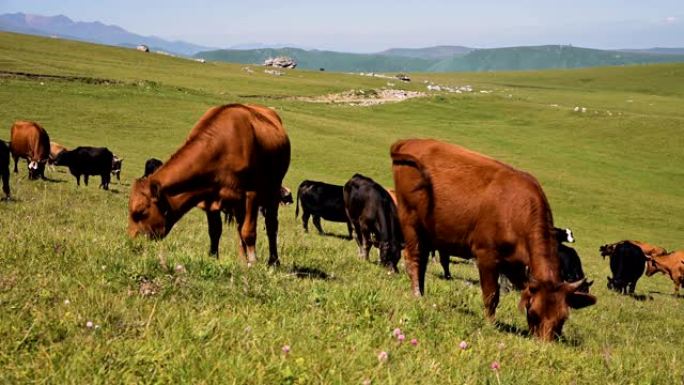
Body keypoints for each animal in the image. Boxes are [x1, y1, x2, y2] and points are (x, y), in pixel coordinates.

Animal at [129, 103, 292, 266]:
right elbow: (215, 231)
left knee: (271, 225)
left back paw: (273, 261)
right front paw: (213, 257)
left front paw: (253, 261)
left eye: (140, 212)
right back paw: (241, 259)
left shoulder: (252, 193)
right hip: (239, 203)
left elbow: (249, 231)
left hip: (273, 190)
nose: (131, 243)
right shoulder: (209, 197)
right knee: (239, 227)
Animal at [390, 138, 592, 340]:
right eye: (534, 313)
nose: (544, 343)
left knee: (422, 262)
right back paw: (417, 295)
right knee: (414, 259)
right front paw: (490, 324)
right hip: (410, 221)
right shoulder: (486, 255)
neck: (516, 211)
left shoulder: (515, 265)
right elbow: (491, 294)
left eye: (563, 318)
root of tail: (409, 141)